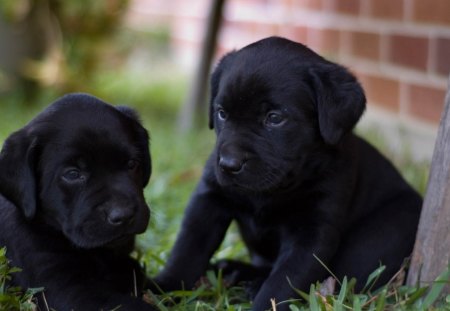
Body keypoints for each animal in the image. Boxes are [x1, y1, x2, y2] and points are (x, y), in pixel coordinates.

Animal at [154, 37, 422, 311]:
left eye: (274, 118)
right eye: (221, 113)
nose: (228, 164)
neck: (271, 191)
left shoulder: (312, 231)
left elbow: (283, 280)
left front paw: (263, 304)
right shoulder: (208, 199)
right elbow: (187, 250)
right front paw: (162, 287)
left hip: (378, 237)